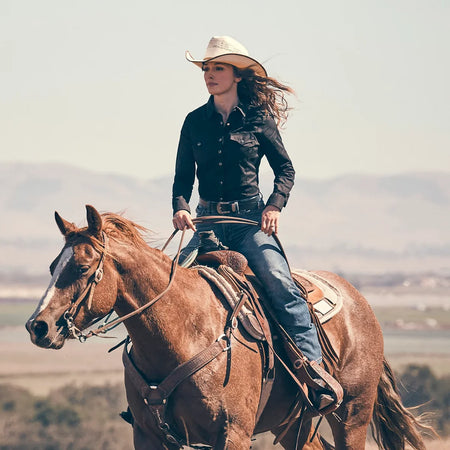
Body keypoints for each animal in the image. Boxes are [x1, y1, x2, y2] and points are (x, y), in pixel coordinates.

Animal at [26, 207, 428, 450]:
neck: (184, 332)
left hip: (353, 416)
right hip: (292, 425)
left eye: (81, 267)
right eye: (51, 266)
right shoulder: (149, 435)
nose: (37, 326)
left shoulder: (233, 433)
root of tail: (360, 302)